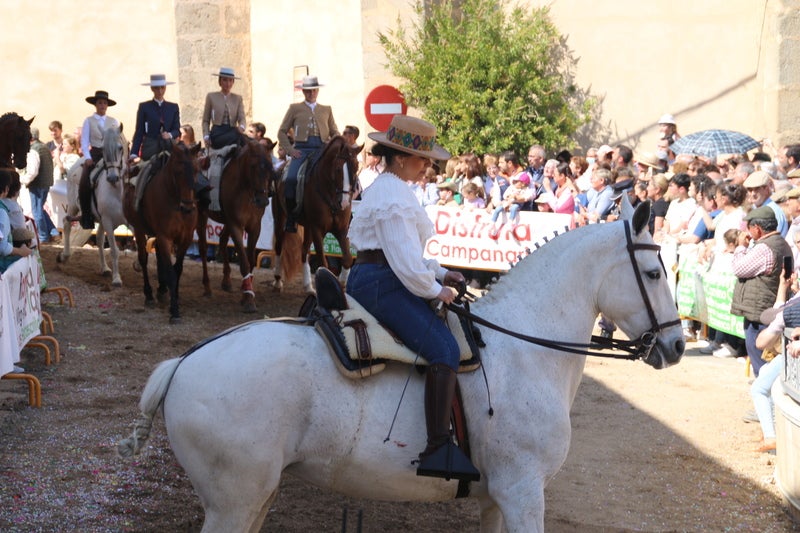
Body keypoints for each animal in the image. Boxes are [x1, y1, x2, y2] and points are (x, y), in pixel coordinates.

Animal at [58, 127, 129, 286]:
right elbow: (114, 250)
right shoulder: (108, 221)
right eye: (102, 149)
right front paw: (117, 278)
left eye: (120, 148)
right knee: (66, 223)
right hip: (73, 206)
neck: (117, 191)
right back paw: (65, 255)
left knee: (100, 240)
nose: (113, 177)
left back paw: (104, 268)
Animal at [119, 200, 684, 532]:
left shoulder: (498, 499)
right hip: (233, 502)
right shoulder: (523, 493)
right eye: (655, 272)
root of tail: (184, 363)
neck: (526, 351)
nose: (677, 345)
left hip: (256, 495)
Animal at [123, 142, 201, 323]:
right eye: (178, 171)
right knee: (143, 260)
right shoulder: (165, 237)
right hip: (139, 229)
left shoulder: (185, 238)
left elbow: (177, 269)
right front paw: (175, 311)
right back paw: (150, 295)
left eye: (196, 169)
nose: (188, 208)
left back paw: (162, 290)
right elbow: (170, 271)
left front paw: (174, 297)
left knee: (159, 259)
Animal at [196, 140, 275, 312]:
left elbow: (250, 260)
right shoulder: (236, 225)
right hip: (201, 215)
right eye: (253, 165)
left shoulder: (254, 227)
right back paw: (207, 287)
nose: (262, 200)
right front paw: (249, 301)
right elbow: (244, 263)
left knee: (222, 240)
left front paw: (247, 292)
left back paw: (226, 281)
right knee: (203, 248)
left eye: (271, 166)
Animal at [272, 135, 361, 293]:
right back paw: (277, 281)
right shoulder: (318, 229)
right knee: (279, 245)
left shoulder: (341, 230)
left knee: (304, 252)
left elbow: (348, 259)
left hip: (308, 227)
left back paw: (308, 286)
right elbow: (324, 264)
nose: (344, 203)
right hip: (280, 218)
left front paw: (342, 283)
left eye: (355, 168)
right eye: (338, 169)